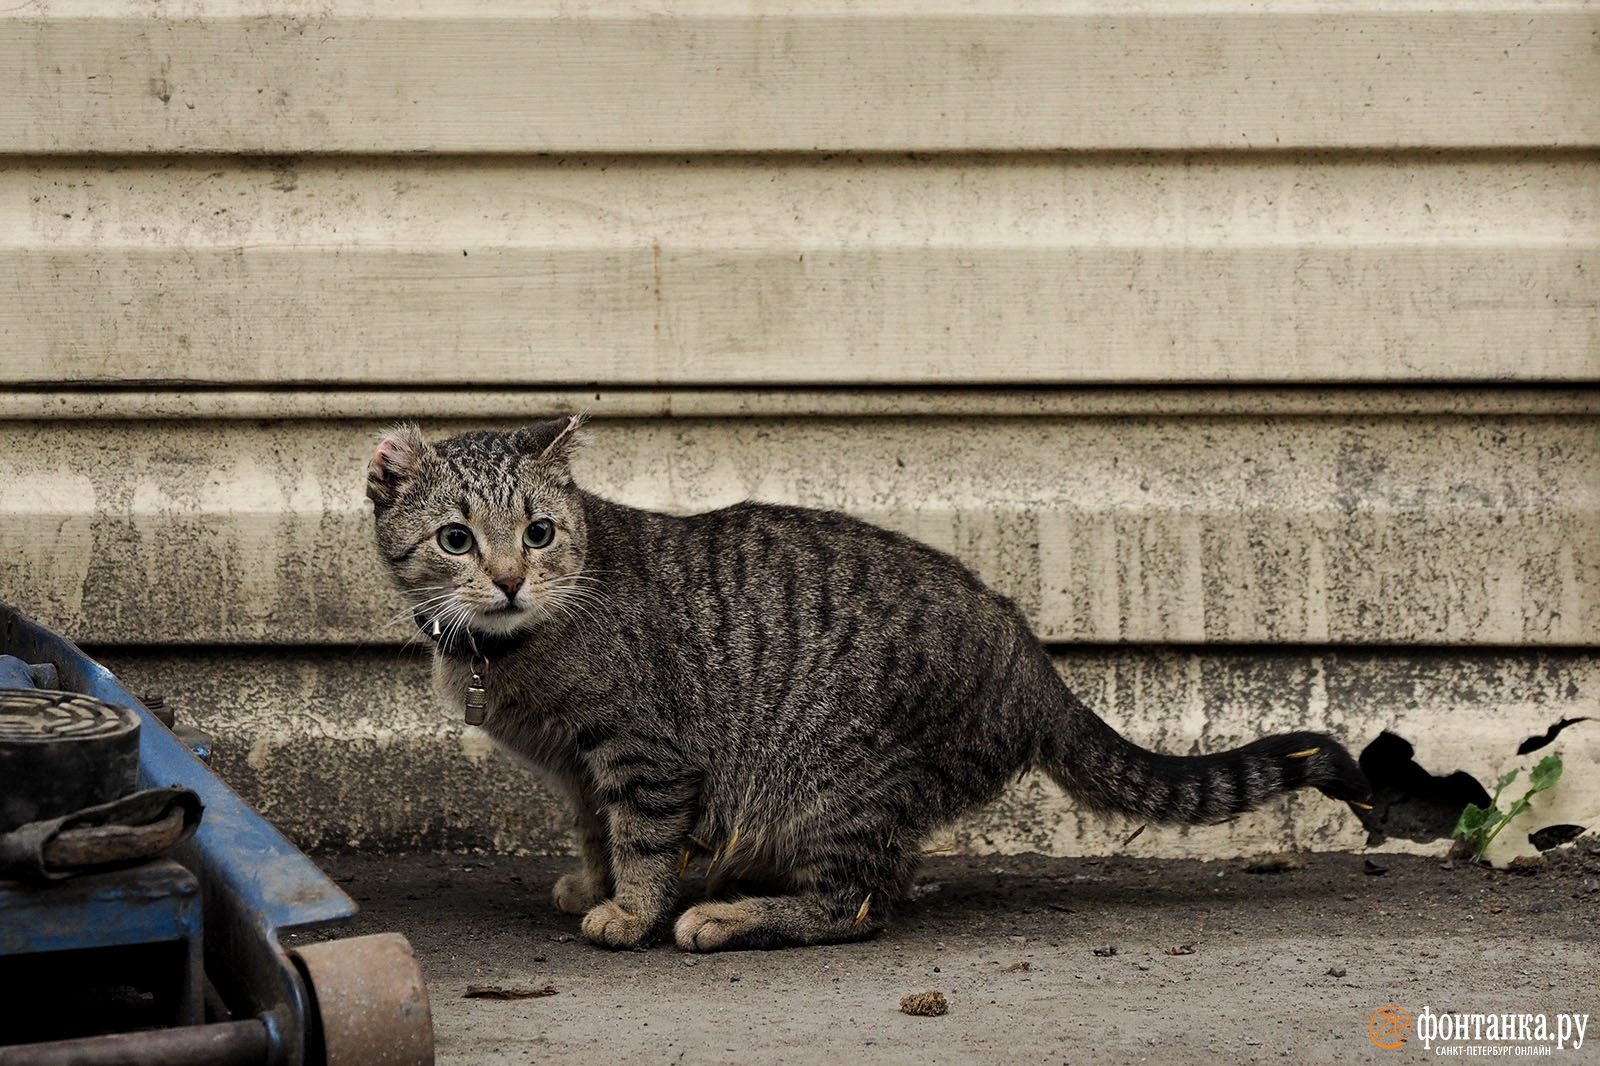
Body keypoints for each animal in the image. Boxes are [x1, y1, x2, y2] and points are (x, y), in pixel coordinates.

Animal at [368, 412, 1369, 947]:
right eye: (457, 539)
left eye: (538, 532)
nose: (509, 578)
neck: (509, 652)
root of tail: (1030, 654)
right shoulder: (581, 768)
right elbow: (593, 831)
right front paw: (594, 881)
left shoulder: (645, 754)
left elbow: (644, 841)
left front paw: (634, 909)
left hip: (832, 781)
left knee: (852, 905)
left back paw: (729, 916)